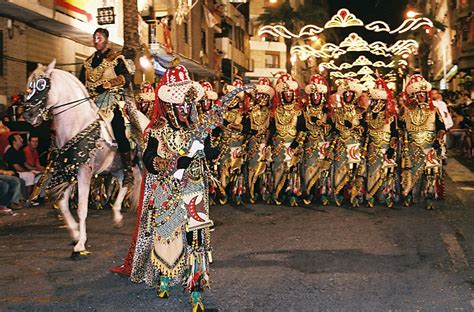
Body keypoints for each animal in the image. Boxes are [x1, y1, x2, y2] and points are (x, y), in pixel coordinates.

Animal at [24, 59, 149, 258]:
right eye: (30, 86)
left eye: (41, 85)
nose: (28, 114)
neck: (76, 124)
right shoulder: (68, 171)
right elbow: (62, 204)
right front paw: (75, 233)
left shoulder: (84, 172)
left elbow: (82, 208)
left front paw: (80, 244)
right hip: (118, 167)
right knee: (126, 183)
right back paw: (117, 216)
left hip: (140, 162)